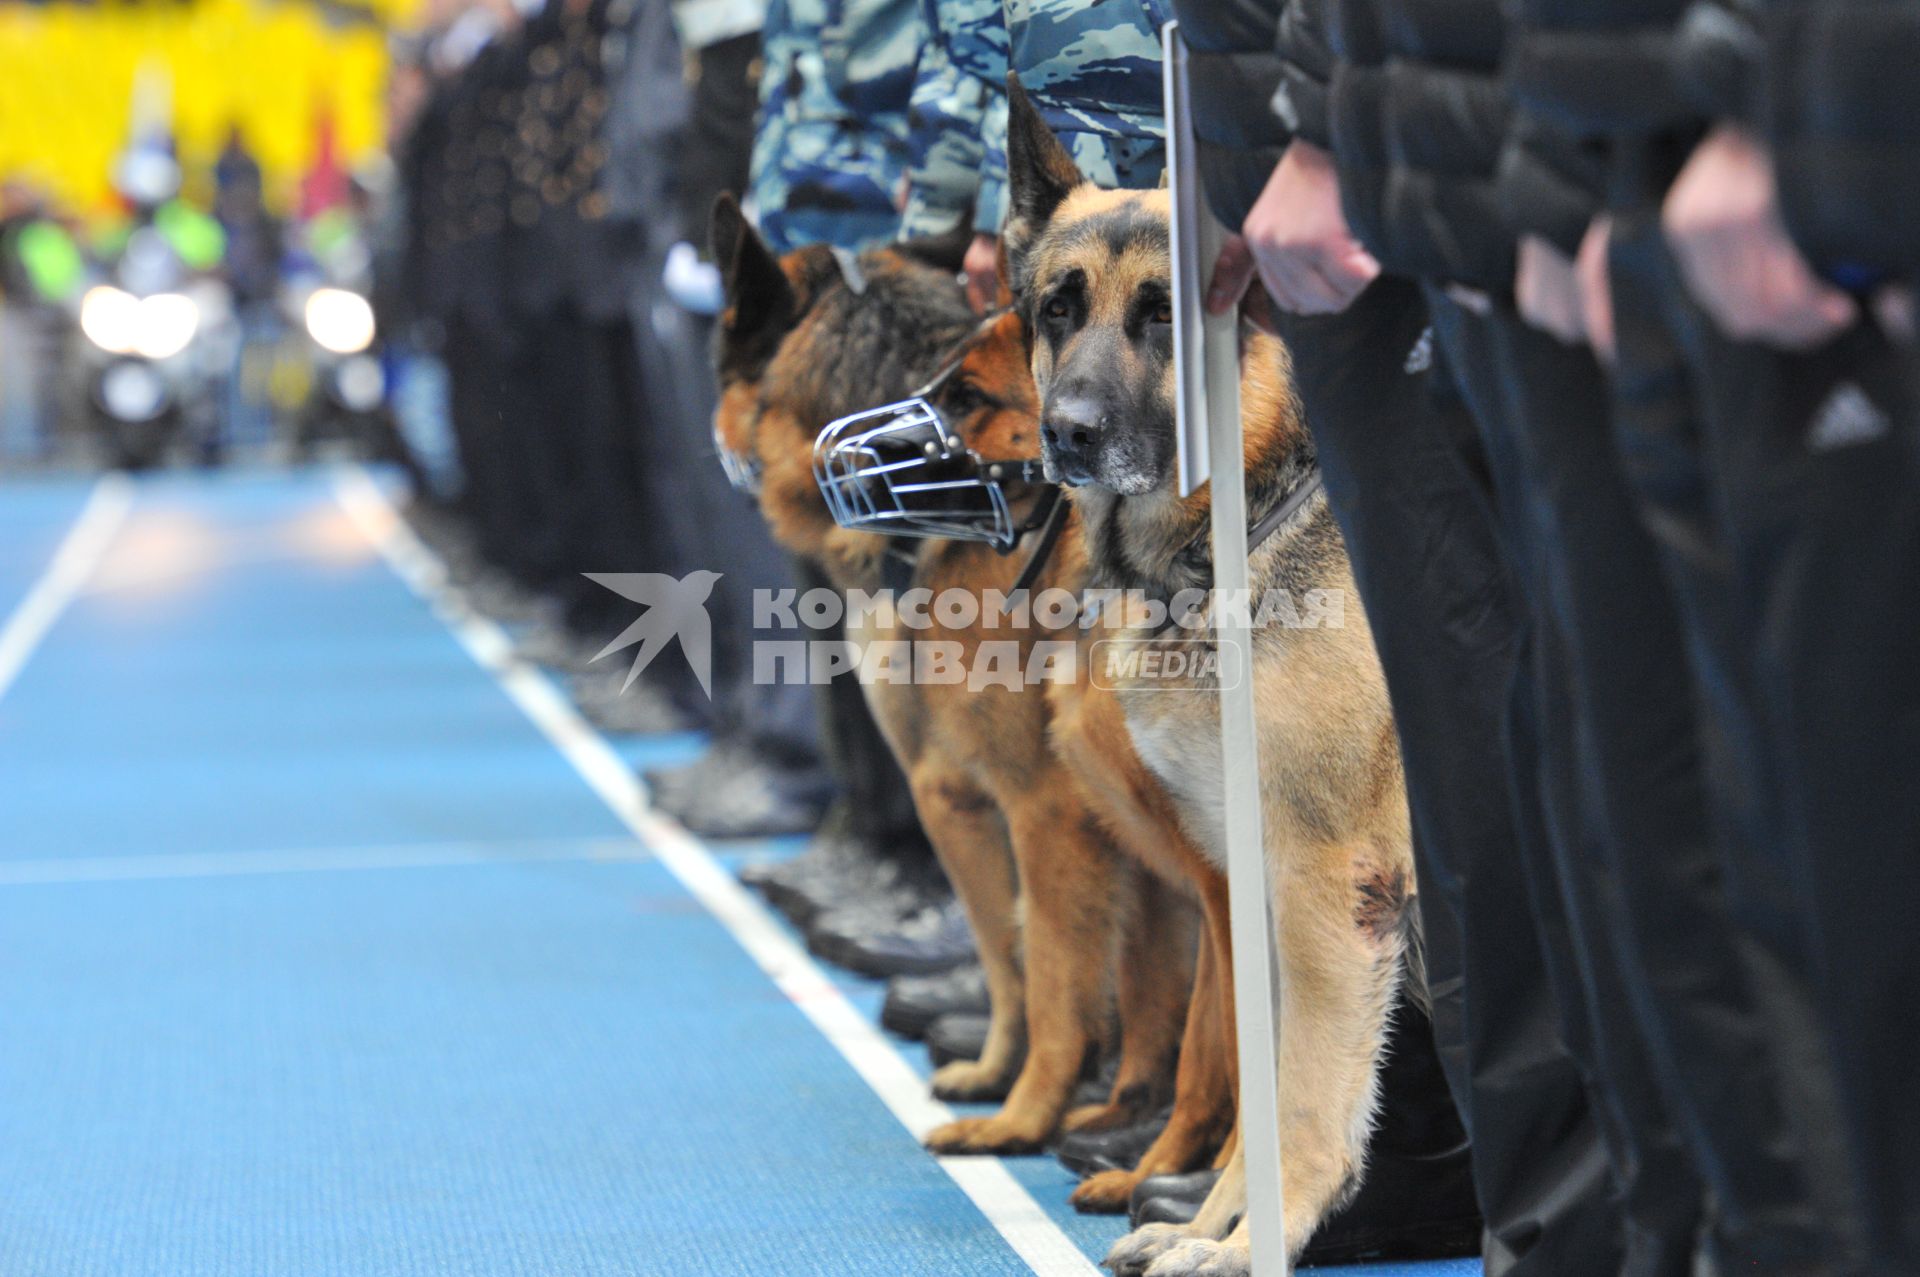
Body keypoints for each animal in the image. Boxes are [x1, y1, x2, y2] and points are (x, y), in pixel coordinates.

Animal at [706, 201, 1182, 1152]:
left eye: (970, 398)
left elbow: (1049, 966)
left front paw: (1030, 1110)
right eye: (942, 393)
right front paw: (1013, 1075)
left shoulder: (1037, 804)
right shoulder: (968, 791)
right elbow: (1008, 954)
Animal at [1006, 82, 1428, 1275]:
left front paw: (1252, 1247)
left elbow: (1303, 1100)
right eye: (1058, 309)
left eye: (1163, 316)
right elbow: (1259, 1095)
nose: (1069, 435)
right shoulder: (1255, 892)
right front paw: (1210, 1227)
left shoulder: (1327, 893)